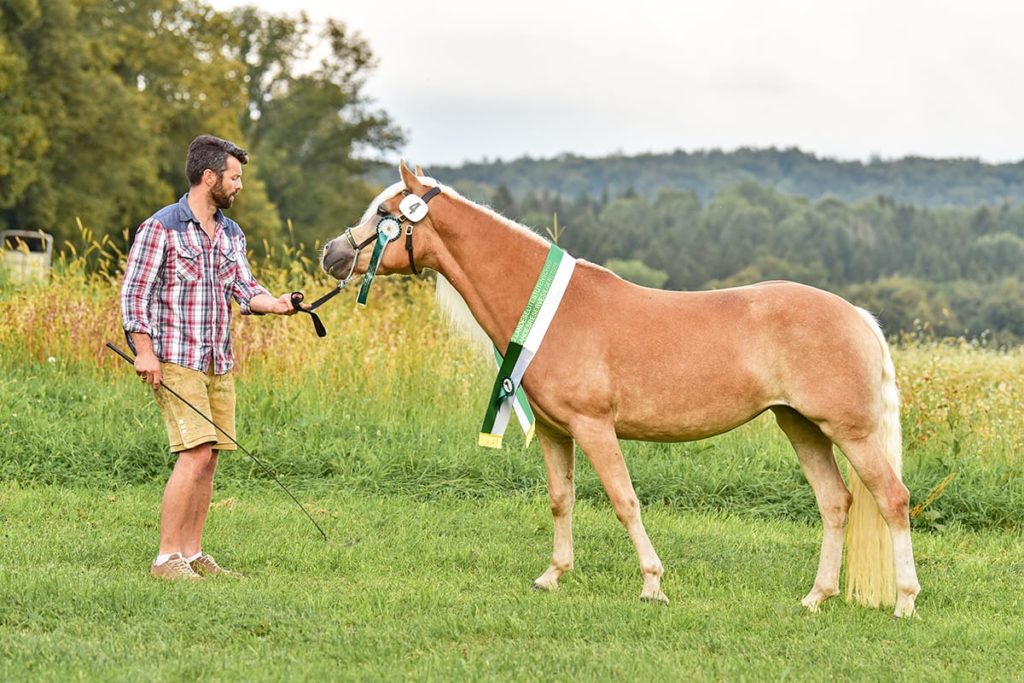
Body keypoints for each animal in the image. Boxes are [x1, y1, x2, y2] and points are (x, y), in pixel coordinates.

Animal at [323, 161, 925, 618]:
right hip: (800, 426)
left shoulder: (594, 426)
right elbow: (561, 499)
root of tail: (858, 316)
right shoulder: (554, 430)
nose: (332, 255)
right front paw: (553, 575)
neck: (552, 309)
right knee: (836, 503)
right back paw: (816, 598)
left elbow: (623, 500)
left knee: (892, 500)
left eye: (385, 214)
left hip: (850, 432)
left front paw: (652, 584)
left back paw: (904, 602)